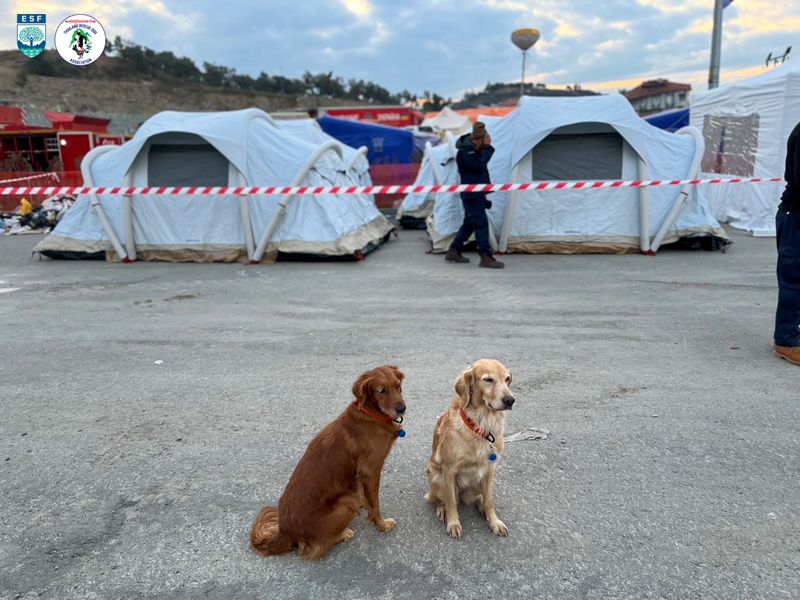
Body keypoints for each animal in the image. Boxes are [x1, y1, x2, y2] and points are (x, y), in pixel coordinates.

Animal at [250, 366, 406, 564]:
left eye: (397, 385)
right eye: (381, 391)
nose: (402, 409)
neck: (370, 413)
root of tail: (285, 532)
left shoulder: (361, 474)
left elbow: (364, 494)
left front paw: (364, 502)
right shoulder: (370, 471)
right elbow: (375, 505)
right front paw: (382, 524)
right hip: (346, 504)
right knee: (317, 545)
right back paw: (343, 534)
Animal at [424, 360, 512, 540]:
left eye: (507, 379)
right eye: (488, 380)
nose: (510, 400)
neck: (481, 424)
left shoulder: (490, 470)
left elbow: (489, 501)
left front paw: (494, 522)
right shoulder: (449, 470)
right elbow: (451, 502)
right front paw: (454, 523)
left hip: (479, 482)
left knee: (480, 498)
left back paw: (482, 508)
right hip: (437, 477)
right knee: (441, 500)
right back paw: (442, 509)